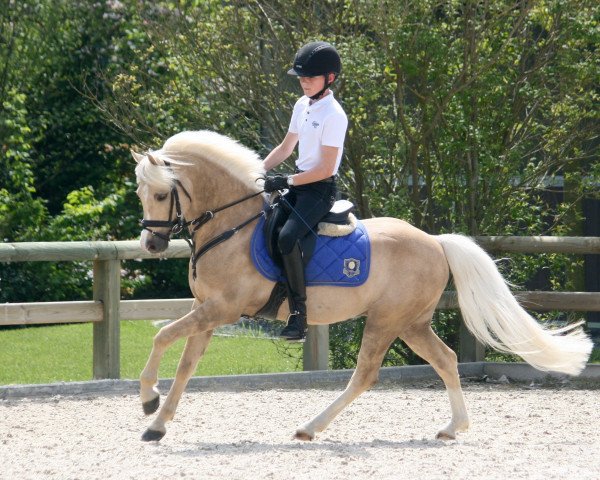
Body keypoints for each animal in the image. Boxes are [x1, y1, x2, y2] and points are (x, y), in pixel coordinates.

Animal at [132, 130, 592, 442]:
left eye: (162, 194)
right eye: (140, 192)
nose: (151, 244)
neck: (231, 226)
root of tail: (435, 241)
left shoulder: (222, 309)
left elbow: (161, 338)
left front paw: (148, 398)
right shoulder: (208, 311)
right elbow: (186, 366)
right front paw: (157, 424)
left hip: (386, 321)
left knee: (366, 374)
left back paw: (310, 427)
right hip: (411, 324)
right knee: (445, 360)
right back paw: (452, 427)